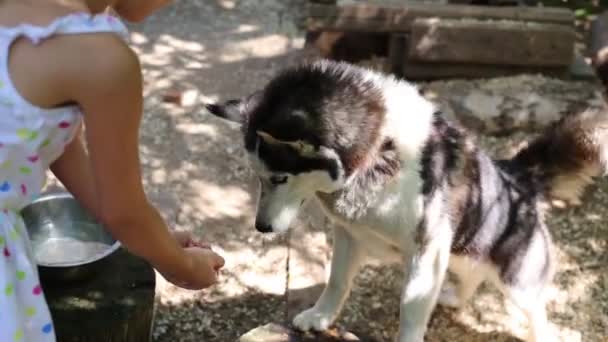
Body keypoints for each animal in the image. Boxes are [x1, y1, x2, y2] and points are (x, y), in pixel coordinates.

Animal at [205, 61, 608, 342]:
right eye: (256, 175)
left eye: (280, 178)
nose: (261, 227)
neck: (375, 151)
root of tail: (515, 173)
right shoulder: (349, 234)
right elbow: (337, 282)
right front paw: (320, 318)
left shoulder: (426, 251)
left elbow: (411, 309)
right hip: (461, 250)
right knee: (472, 275)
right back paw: (454, 298)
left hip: (516, 278)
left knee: (536, 311)